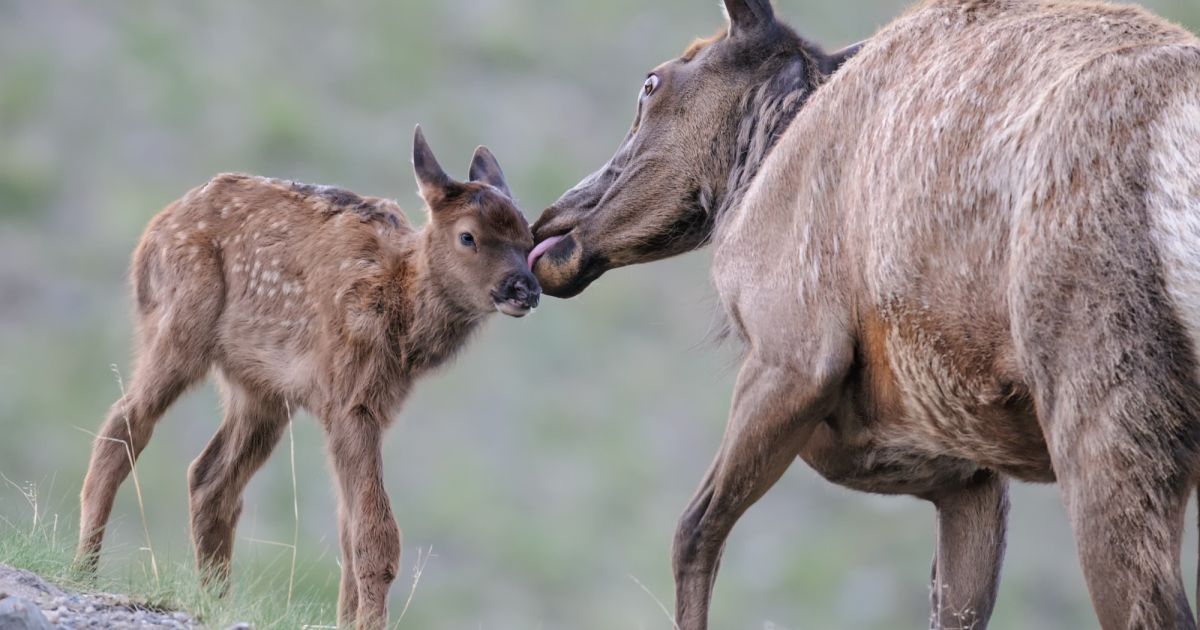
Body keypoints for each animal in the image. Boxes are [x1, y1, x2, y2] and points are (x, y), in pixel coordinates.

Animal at [76, 129, 540, 628]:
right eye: (467, 236)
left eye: (528, 236)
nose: (525, 288)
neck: (401, 310)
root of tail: (152, 232)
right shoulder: (349, 398)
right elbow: (374, 535)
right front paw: (368, 622)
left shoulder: (373, 405)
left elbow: (349, 529)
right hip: (179, 325)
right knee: (124, 424)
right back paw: (86, 569)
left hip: (260, 390)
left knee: (209, 478)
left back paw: (215, 600)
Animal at [532, 1, 1200, 628]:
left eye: (652, 83)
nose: (548, 223)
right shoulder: (967, 470)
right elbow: (956, 605)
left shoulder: (793, 355)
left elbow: (694, 534)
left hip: (1105, 410)